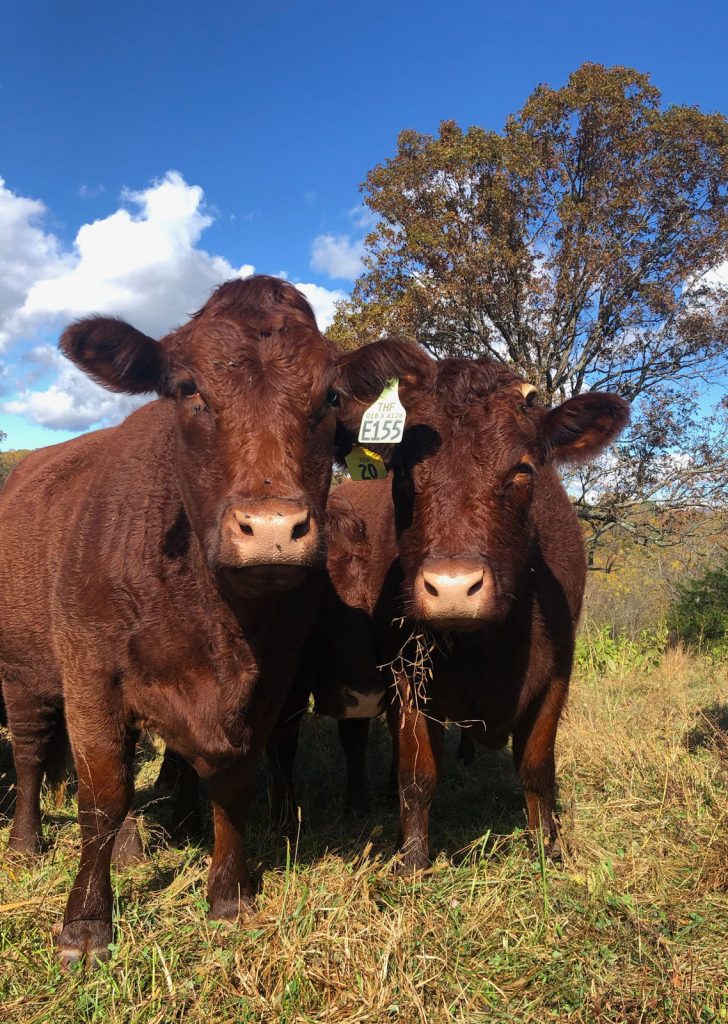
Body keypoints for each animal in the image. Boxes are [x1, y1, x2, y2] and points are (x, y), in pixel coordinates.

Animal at [0, 276, 403, 966]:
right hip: (21, 674)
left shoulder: (273, 682)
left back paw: (134, 851)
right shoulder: (89, 675)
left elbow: (233, 783)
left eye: (330, 396)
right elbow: (101, 795)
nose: (272, 527)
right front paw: (86, 924)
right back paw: (27, 842)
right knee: (30, 756)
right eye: (188, 389)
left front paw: (229, 896)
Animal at [268, 340, 629, 869]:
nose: (453, 587)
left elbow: (537, 766)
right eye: (401, 471)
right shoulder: (404, 674)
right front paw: (414, 858)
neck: (490, 653)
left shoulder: (558, 672)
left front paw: (549, 847)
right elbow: (417, 774)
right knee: (291, 743)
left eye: (523, 470)